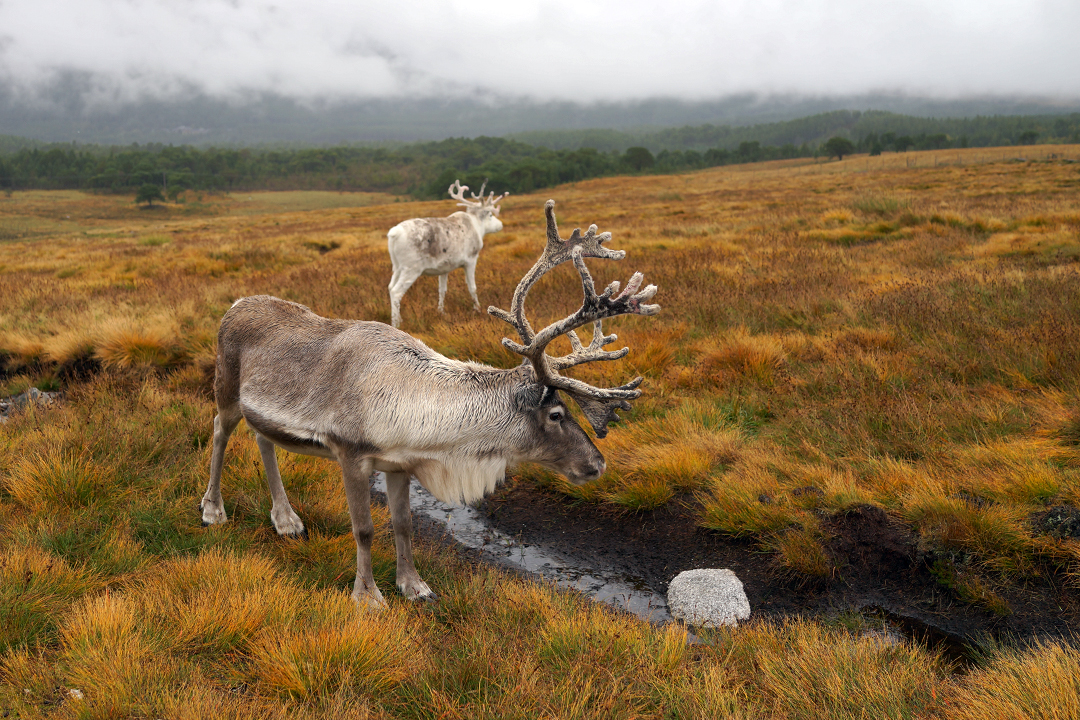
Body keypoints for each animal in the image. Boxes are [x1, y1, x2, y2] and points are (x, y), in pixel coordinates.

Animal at [199, 200, 659, 607]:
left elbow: (403, 525)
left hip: (259, 409)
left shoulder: (400, 464)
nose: (598, 463)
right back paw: (213, 510)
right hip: (226, 388)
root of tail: (234, 304)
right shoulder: (351, 454)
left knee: (264, 440)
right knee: (220, 433)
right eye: (556, 413)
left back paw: (286, 520)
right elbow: (364, 529)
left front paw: (414, 586)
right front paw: (368, 596)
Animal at [387, 179, 509, 328]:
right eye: (490, 215)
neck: (478, 227)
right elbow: (472, 287)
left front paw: (441, 312)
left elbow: (442, 290)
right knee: (396, 292)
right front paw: (478, 309)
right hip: (411, 268)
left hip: (397, 267)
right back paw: (396, 324)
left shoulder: (444, 268)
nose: (500, 224)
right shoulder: (471, 260)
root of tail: (393, 234)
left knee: (390, 287)